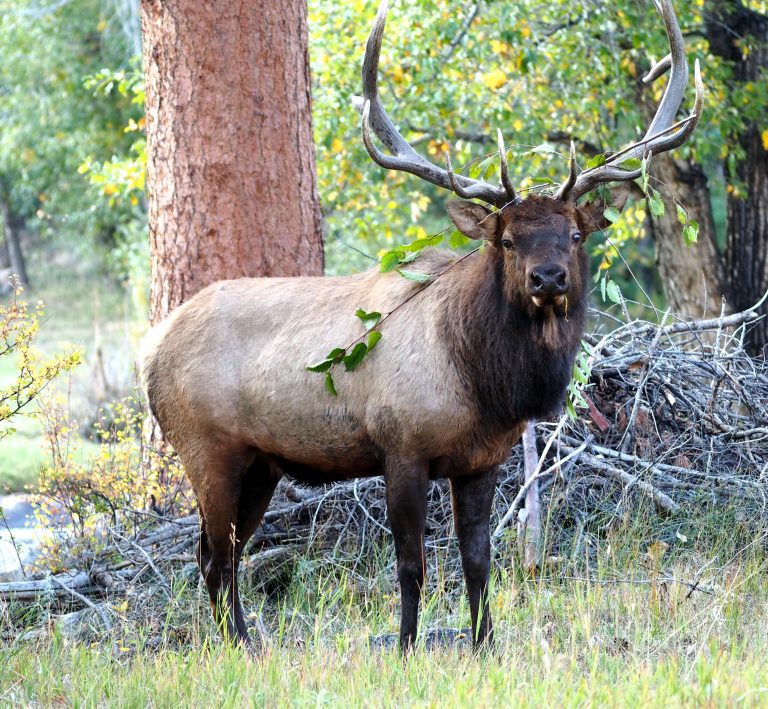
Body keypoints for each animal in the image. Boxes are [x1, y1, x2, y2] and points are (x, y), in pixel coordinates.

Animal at [141, 0, 704, 652]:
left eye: (574, 234)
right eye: (507, 239)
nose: (548, 278)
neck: (482, 382)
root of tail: (148, 351)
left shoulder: (483, 460)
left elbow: (479, 558)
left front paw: (485, 643)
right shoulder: (400, 446)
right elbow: (411, 563)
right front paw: (408, 646)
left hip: (261, 463)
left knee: (218, 554)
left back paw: (245, 643)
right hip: (206, 448)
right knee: (215, 555)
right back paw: (238, 644)